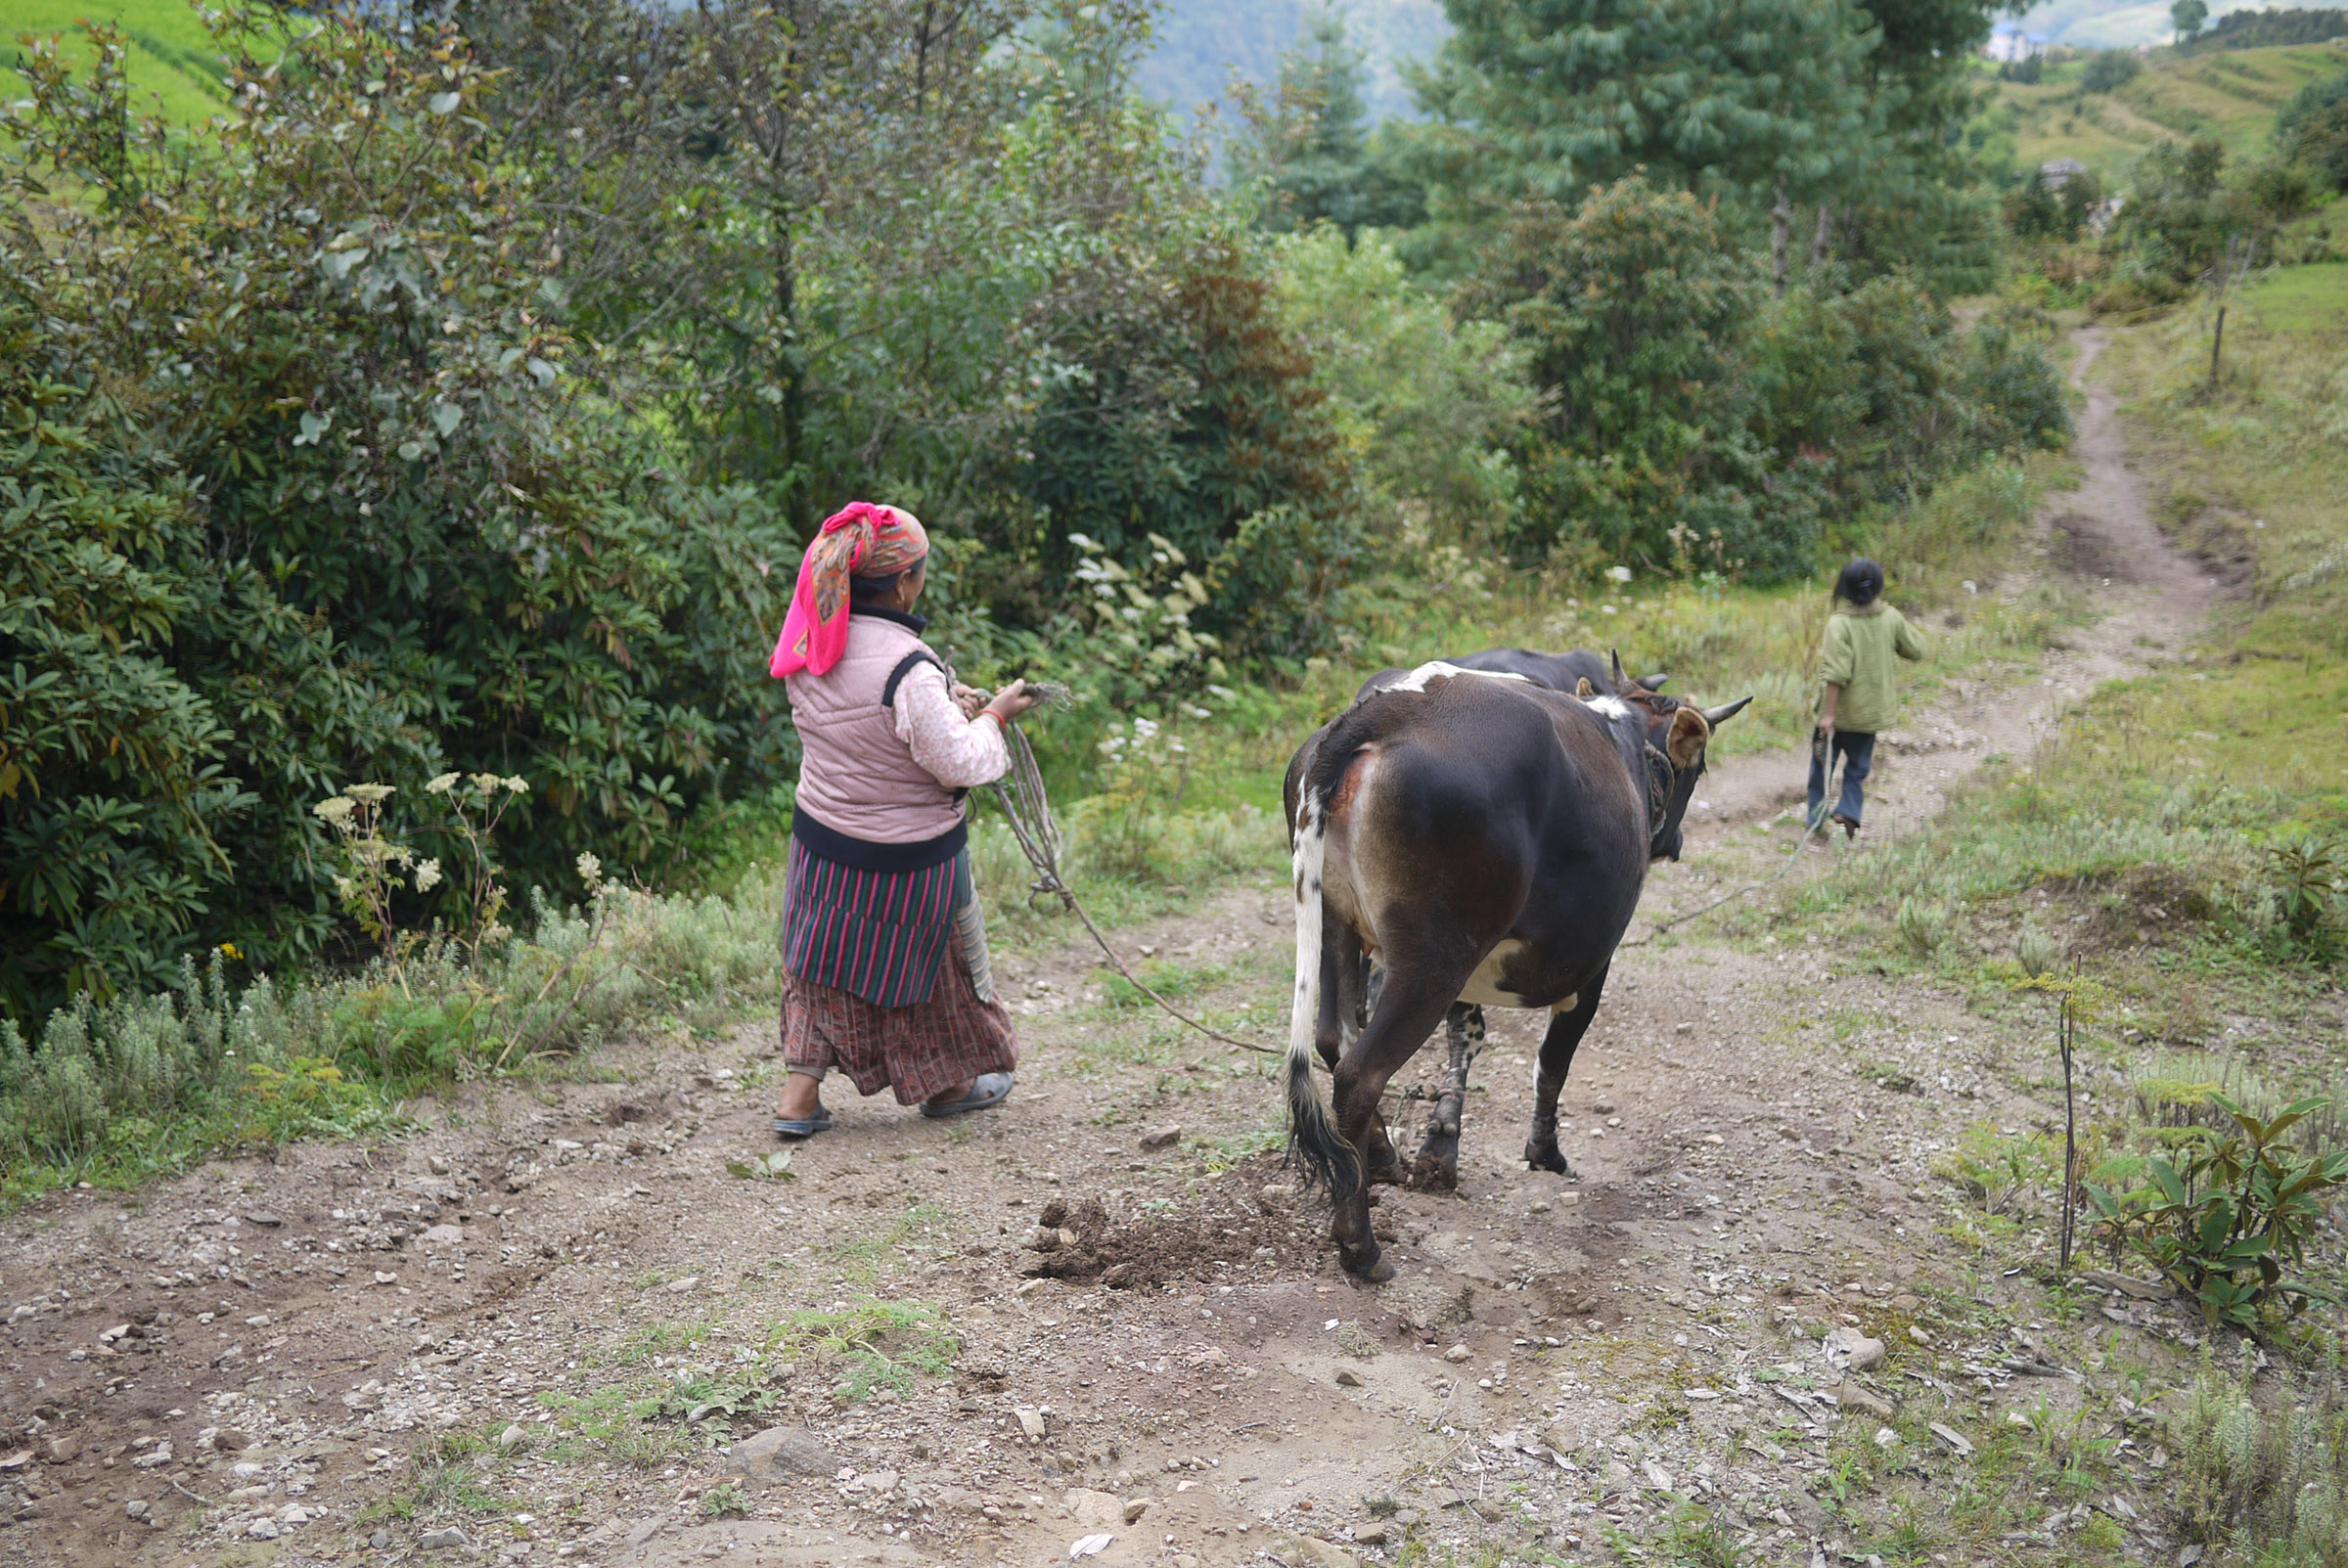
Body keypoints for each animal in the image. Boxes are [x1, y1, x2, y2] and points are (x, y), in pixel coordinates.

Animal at [1277, 656, 1756, 1277]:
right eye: (1696, 767)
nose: (1672, 840)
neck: (1622, 734)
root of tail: (1399, 705)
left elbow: (1465, 1041)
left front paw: (1440, 1149)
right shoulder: (1591, 965)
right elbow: (1553, 1063)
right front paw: (1545, 1152)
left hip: (1338, 925)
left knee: (1335, 1041)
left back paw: (1378, 1156)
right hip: (1433, 957)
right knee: (1360, 1074)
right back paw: (1360, 1244)